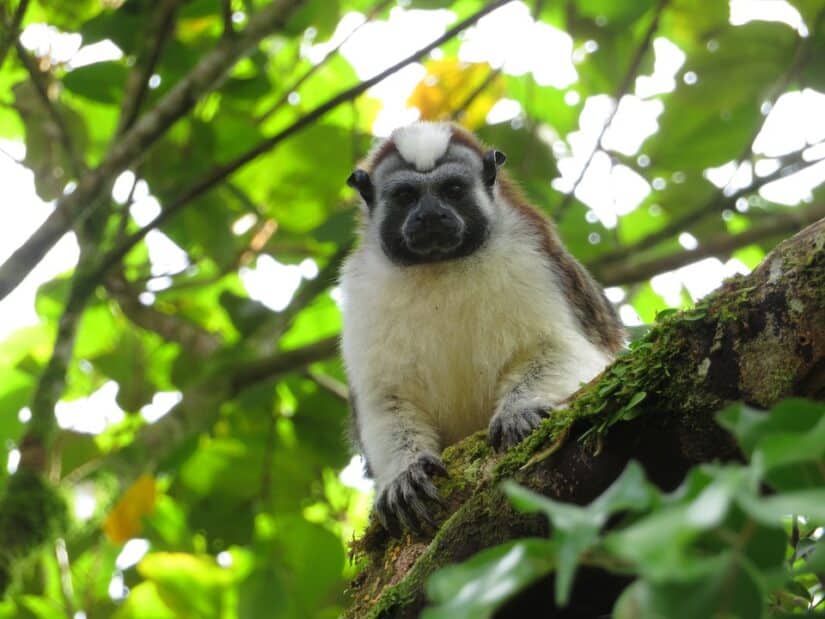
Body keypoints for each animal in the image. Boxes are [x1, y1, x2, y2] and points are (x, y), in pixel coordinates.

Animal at [338, 123, 620, 536]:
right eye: (406, 197)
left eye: (452, 190)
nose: (431, 216)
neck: (440, 268)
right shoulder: (361, 295)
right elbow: (384, 396)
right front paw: (405, 474)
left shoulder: (536, 258)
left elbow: (567, 348)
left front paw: (520, 410)